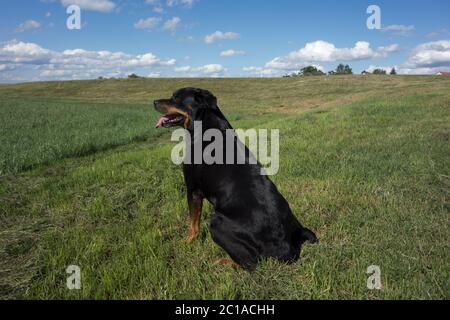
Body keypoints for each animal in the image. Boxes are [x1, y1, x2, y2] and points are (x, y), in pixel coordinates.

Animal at [154, 87, 316, 270]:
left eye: (175, 97)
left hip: (217, 223)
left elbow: (193, 224)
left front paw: (186, 243)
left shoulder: (193, 189)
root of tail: (287, 247)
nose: (154, 102)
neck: (205, 127)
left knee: (251, 262)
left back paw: (223, 262)